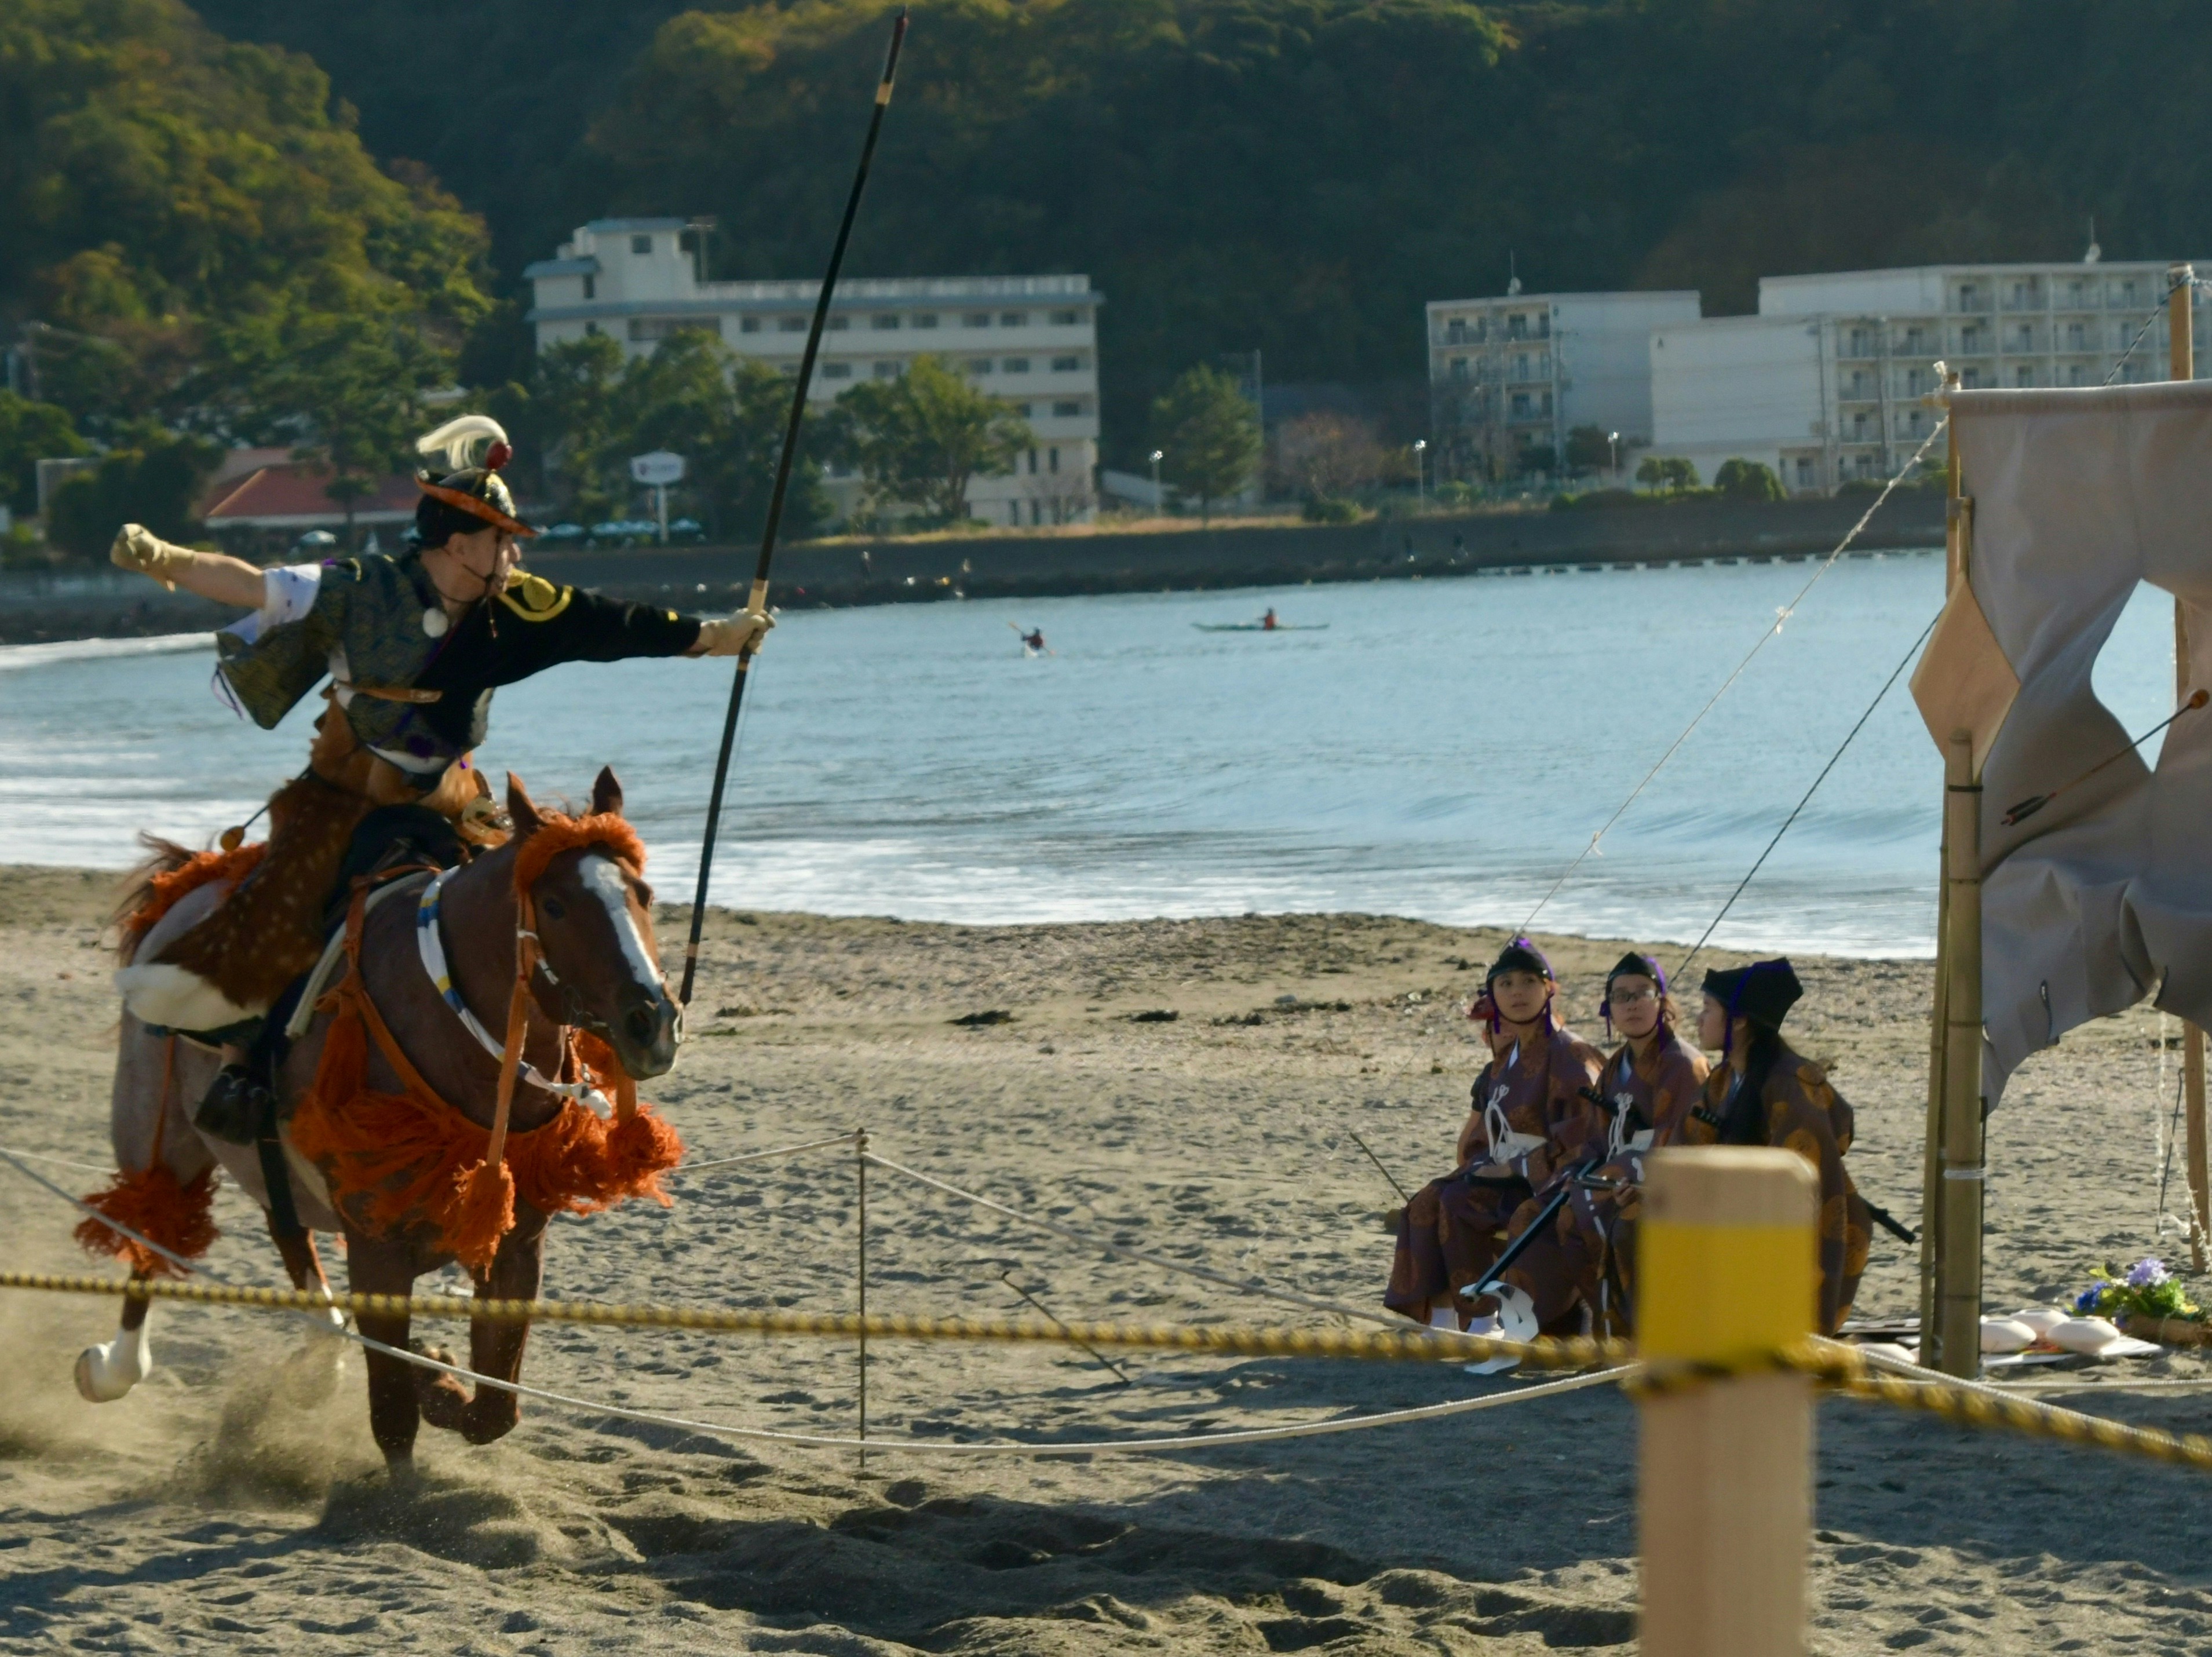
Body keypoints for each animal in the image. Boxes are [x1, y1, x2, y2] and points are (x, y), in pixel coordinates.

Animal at [80, 765, 681, 1477]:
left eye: (644, 894)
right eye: (557, 906)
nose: (652, 1022)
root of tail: (193, 880)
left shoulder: (516, 1246)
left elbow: (494, 1410)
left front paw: (440, 1376)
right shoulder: (378, 1255)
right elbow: (394, 1415)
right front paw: (422, 1396)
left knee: (284, 1228)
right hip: (156, 1125)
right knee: (150, 1230)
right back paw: (114, 1366)